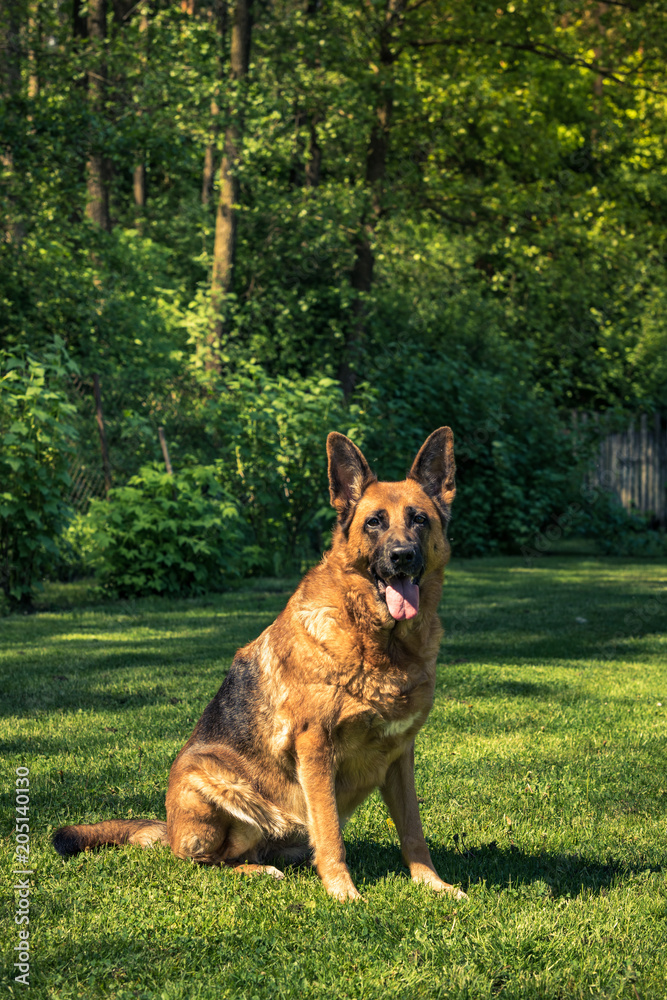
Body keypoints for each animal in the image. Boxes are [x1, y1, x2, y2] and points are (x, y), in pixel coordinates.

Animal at [53, 426, 464, 904]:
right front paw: (343, 893)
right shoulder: (315, 746)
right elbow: (331, 834)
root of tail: (170, 830)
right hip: (211, 780)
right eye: (374, 522)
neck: (379, 642)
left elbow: (413, 831)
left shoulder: (400, 754)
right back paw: (258, 870)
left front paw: (433, 884)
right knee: (204, 862)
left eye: (419, 520)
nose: (402, 557)